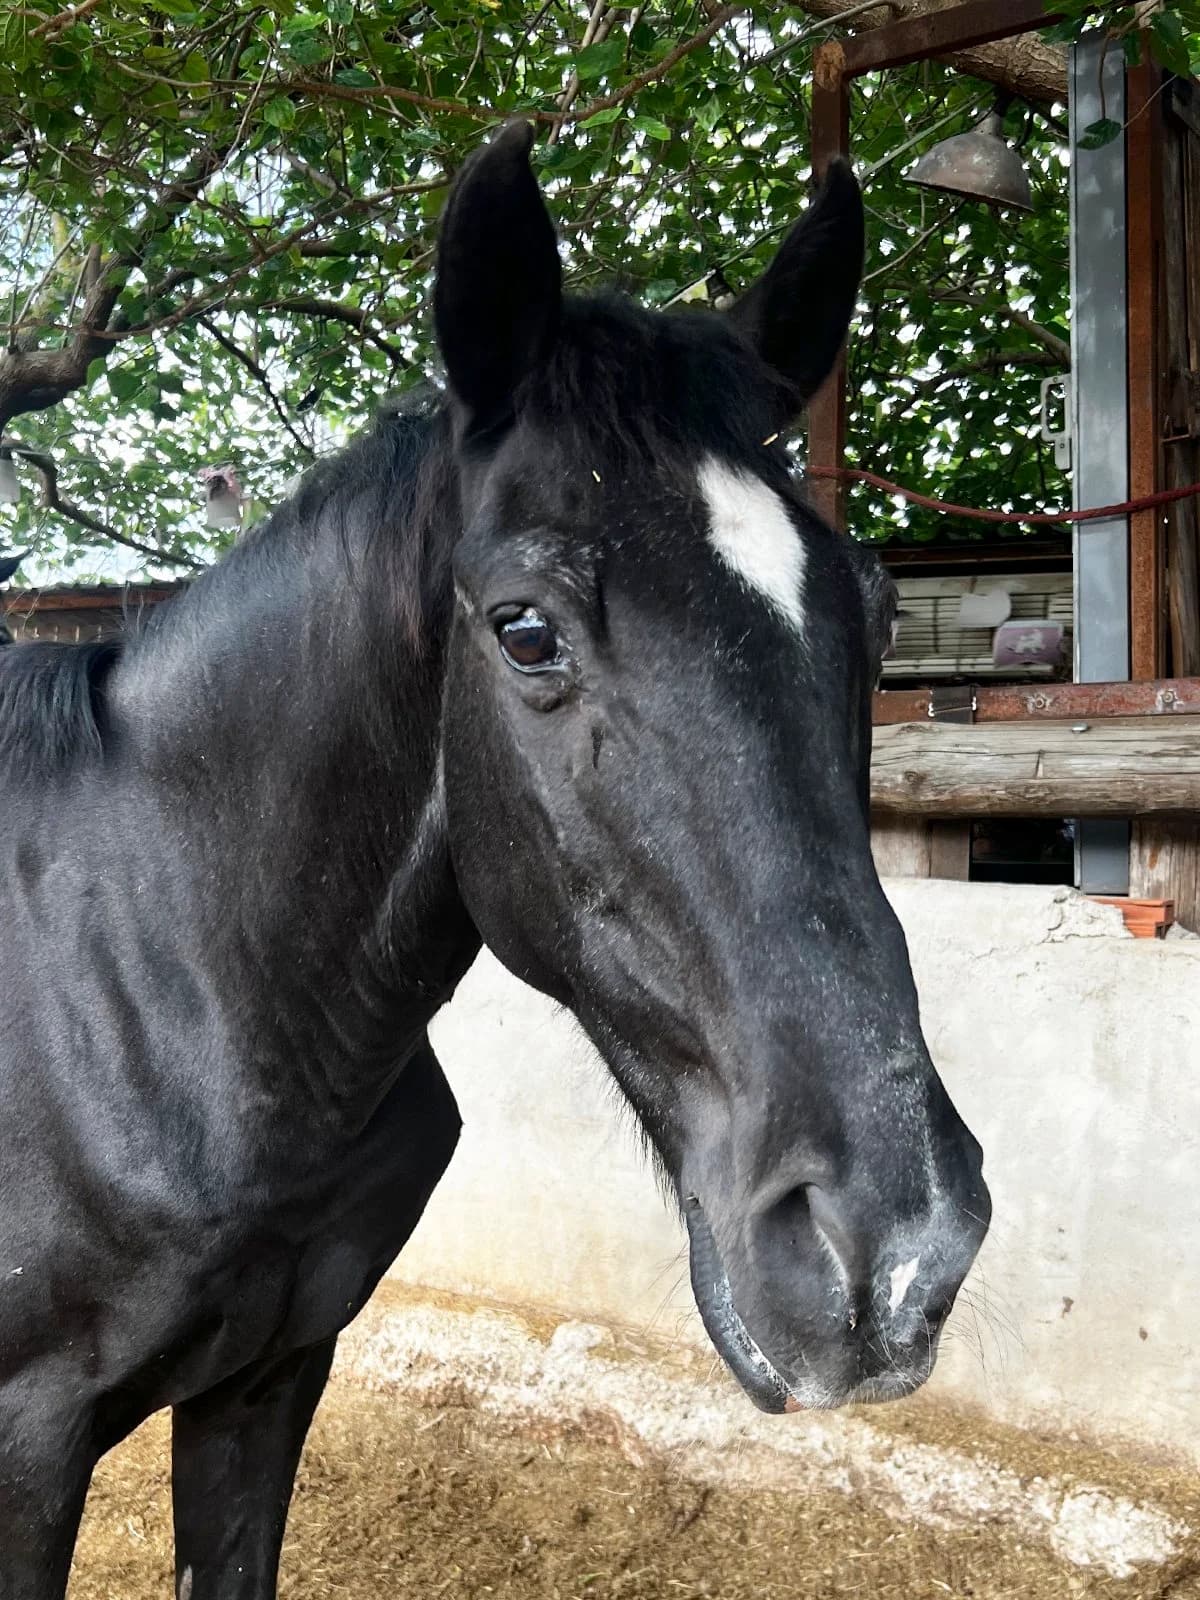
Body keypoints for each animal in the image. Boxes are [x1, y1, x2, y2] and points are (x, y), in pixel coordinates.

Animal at [0, 121, 989, 1599]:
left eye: (870, 609)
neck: (149, 989)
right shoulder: (28, 1446)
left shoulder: (266, 1376)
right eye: (524, 630)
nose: (894, 1251)